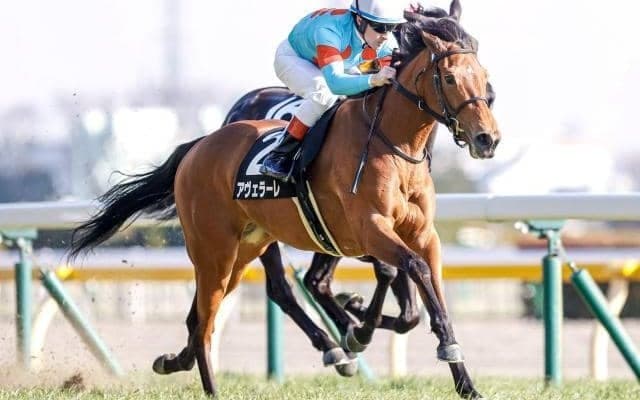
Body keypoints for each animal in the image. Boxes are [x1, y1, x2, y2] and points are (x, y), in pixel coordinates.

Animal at [70, 2, 500, 398]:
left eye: (483, 74)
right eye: (449, 77)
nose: (487, 138)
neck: (394, 144)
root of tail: (200, 143)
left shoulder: (422, 236)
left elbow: (427, 294)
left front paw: (465, 382)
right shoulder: (370, 230)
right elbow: (407, 271)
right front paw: (359, 328)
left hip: (244, 248)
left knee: (206, 314)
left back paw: (177, 360)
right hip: (217, 249)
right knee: (258, 297)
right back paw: (328, 349)